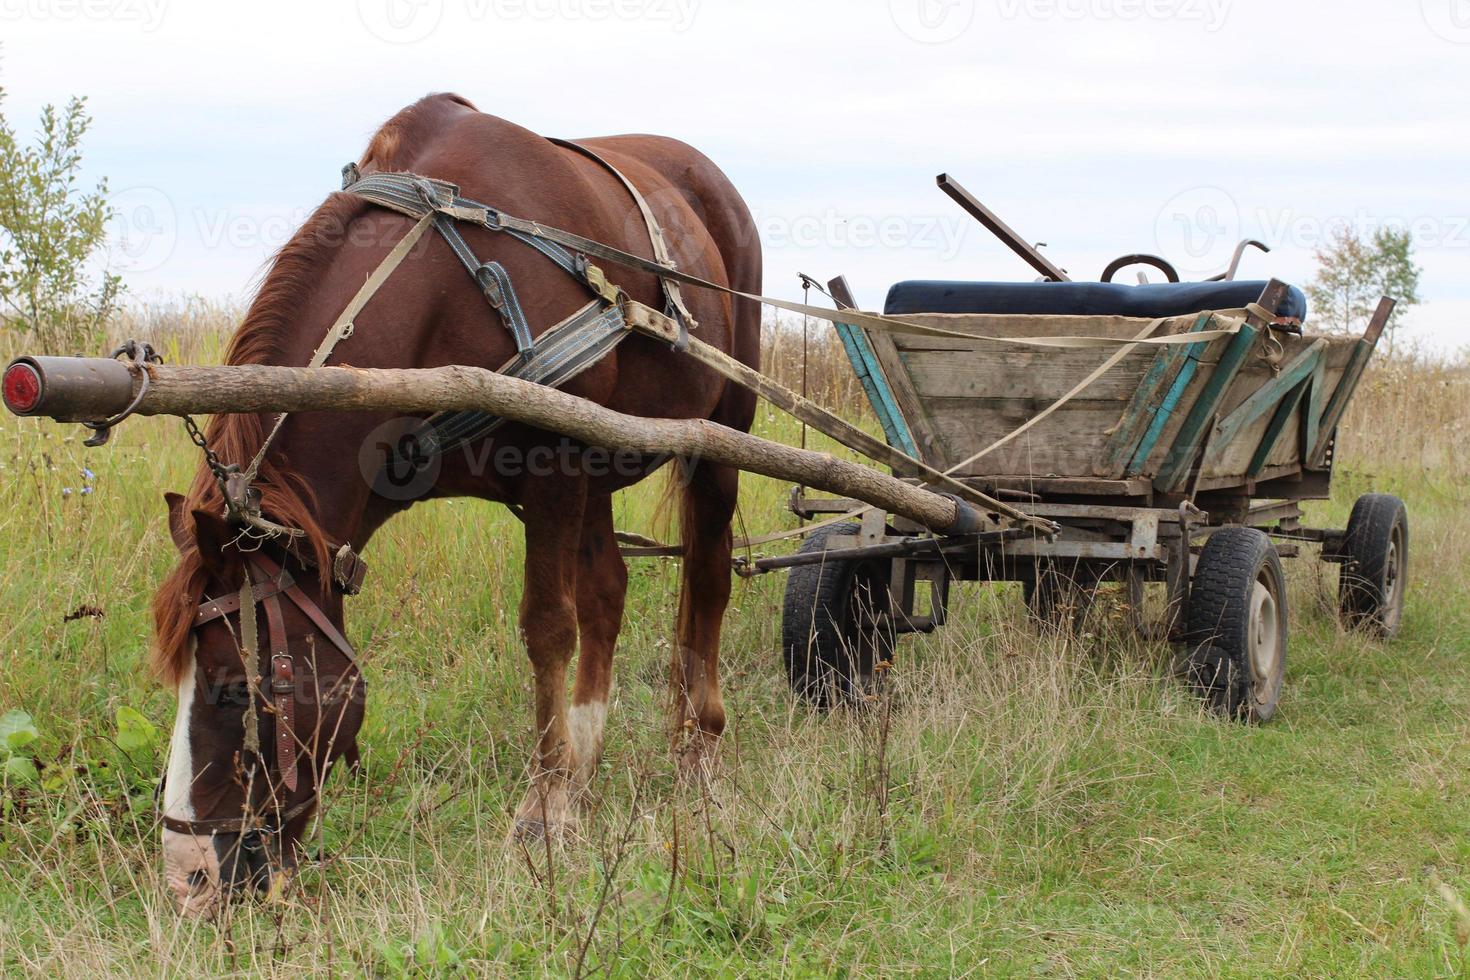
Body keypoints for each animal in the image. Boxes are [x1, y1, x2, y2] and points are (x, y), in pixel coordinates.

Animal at [152, 94, 758, 922]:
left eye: (231, 688)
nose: (187, 878)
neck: (440, 285)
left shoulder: (553, 468)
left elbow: (547, 627)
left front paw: (541, 812)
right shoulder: (567, 474)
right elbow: (584, 610)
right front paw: (564, 787)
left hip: (723, 429)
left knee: (707, 580)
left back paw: (698, 746)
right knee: (610, 593)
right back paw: (587, 757)